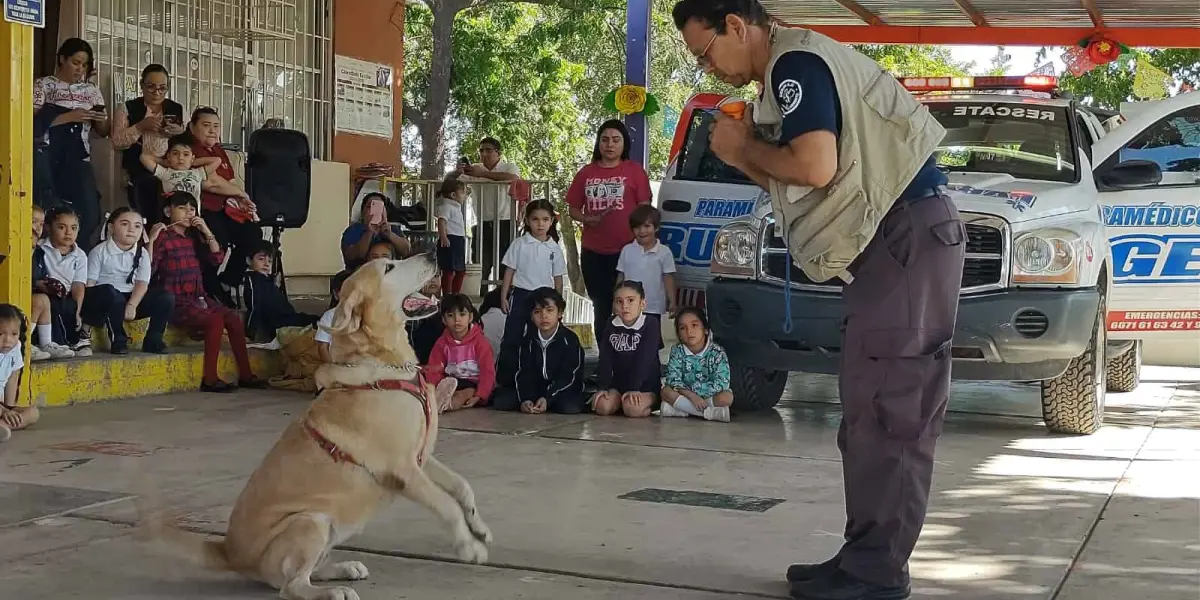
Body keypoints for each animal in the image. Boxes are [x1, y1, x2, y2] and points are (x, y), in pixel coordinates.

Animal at [141, 253, 492, 600]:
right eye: (388, 267)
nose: (433, 253)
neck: (382, 363)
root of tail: (229, 553)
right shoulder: (403, 470)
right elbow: (447, 506)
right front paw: (469, 547)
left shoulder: (421, 458)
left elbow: (462, 486)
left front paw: (480, 528)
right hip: (311, 521)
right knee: (290, 586)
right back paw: (332, 591)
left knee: (303, 574)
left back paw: (343, 569)